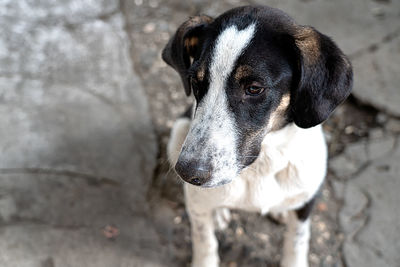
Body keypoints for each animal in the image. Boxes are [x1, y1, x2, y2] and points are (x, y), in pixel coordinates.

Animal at [161, 4, 352, 267]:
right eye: (196, 82)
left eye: (254, 88)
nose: (188, 173)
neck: (263, 163)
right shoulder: (197, 206)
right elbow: (204, 240)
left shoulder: (307, 198)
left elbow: (297, 242)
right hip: (178, 132)